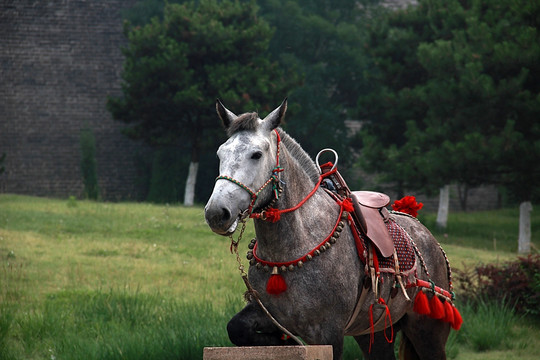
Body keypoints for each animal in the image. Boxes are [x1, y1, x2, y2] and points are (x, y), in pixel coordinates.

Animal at [205, 100, 458, 360]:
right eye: (221, 153)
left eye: (256, 154)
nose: (216, 213)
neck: (294, 246)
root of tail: (428, 238)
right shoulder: (269, 314)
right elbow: (237, 328)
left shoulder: (328, 331)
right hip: (374, 332)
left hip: (428, 331)